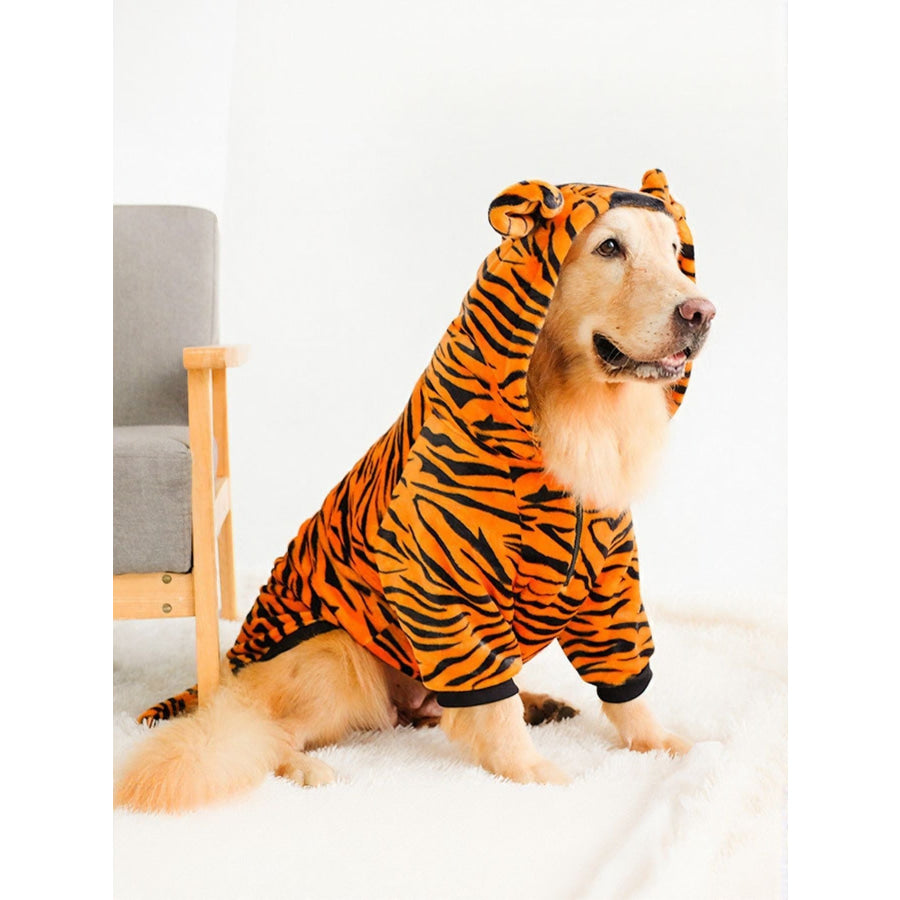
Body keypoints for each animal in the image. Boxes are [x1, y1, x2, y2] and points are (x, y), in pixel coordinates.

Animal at [116, 169, 712, 811]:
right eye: (609, 248)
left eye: (675, 252)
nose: (701, 312)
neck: (570, 410)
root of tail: (229, 674)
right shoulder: (437, 575)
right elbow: (491, 704)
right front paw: (529, 771)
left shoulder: (609, 578)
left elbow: (625, 684)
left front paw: (662, 743)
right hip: (337, 657)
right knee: (264, 732)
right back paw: (309, 768)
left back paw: (539, 703)